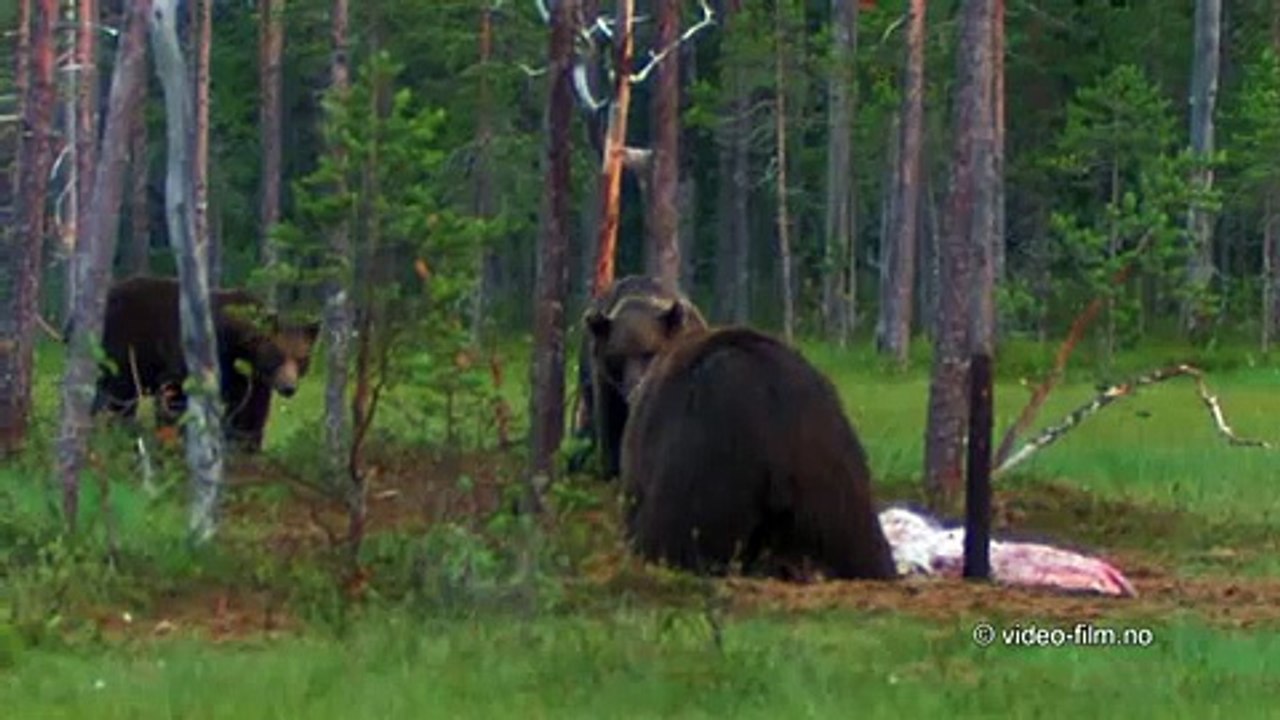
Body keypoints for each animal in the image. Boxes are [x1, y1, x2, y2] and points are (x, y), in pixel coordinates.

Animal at [89, 275, 319, 452]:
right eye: (276, 355)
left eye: (301, 359)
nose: (288, 387)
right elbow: (176, 396)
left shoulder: (252, 381)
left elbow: (251, 413)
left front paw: (248, 447)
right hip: (122, 347)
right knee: (119, 393)